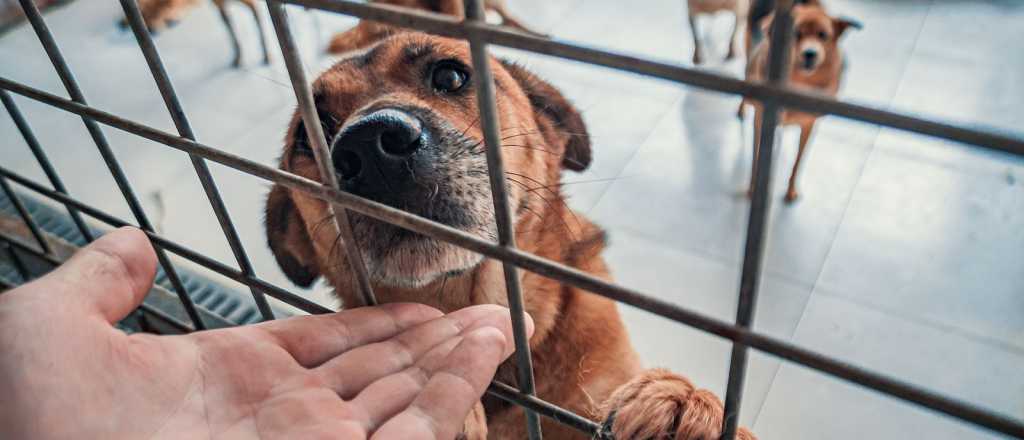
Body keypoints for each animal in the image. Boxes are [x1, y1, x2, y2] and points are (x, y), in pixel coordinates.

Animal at [741, 2, 860, 201]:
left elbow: (798, 161)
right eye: (796, 34)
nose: (810, 54)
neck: (799, 82)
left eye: (823, 35)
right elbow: (757, 157)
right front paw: (753, 188)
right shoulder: (761, 121)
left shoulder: (809, 125)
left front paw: (791, 189)